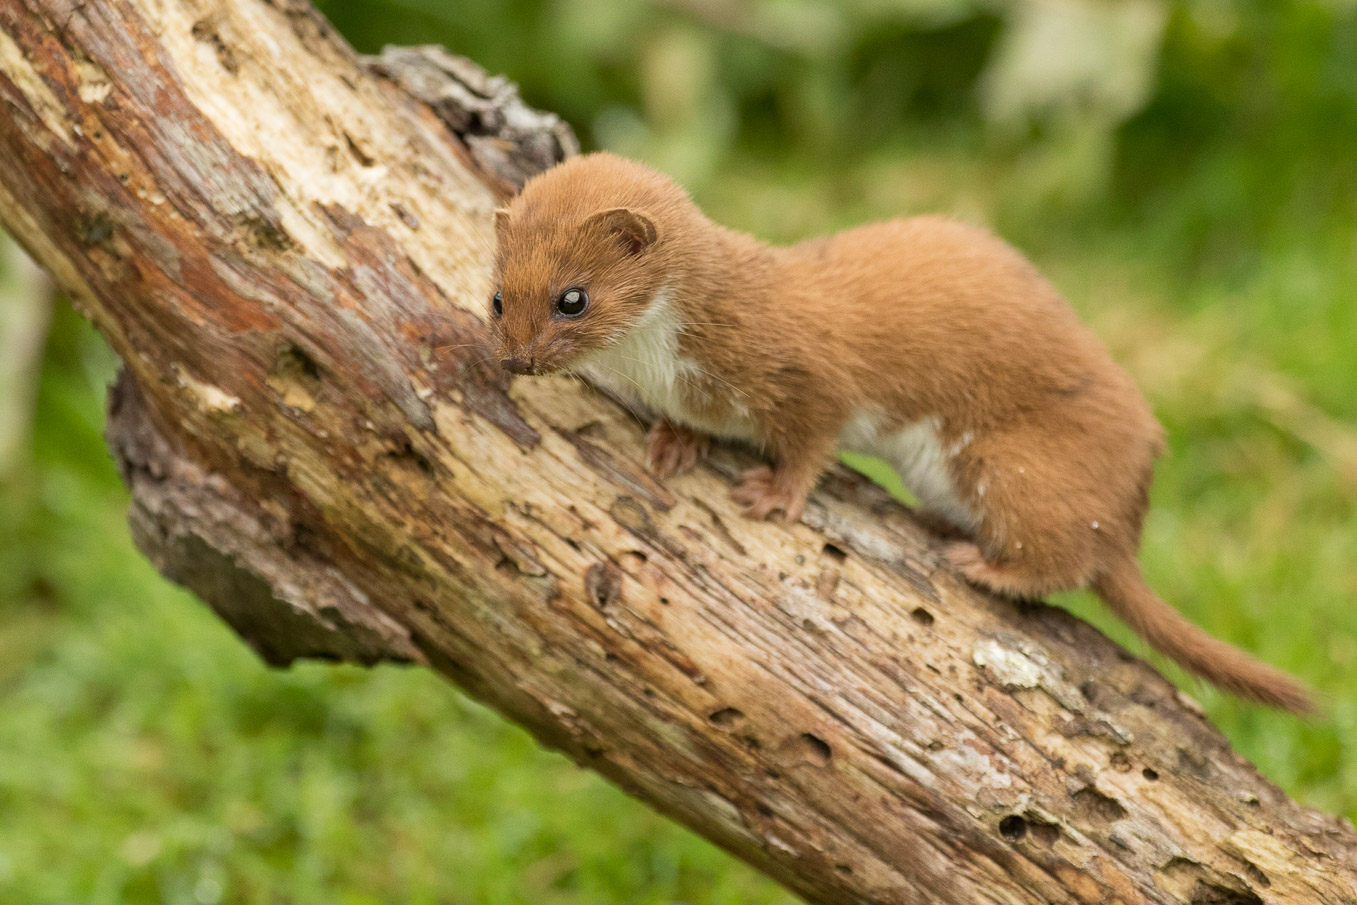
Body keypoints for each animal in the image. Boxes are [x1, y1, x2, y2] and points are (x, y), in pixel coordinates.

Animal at [488, 150, 1313, 716]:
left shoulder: (812, 374)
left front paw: (775, 493)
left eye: (572, 297)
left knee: (1063, 555)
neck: (666, 364)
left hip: (1013, 465)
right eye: (498, 296)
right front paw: (673, 442)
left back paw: (980, 562)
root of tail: (1132, 510)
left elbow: (812, 436)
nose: (516, 358)